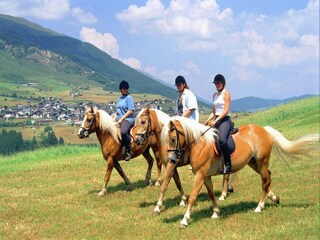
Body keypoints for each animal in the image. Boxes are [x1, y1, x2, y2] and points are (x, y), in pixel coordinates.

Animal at [164, 117, 318, 228]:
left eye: (173, 139)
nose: (172, 160)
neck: (200, 144)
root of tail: (263, 130)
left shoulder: (200, 175)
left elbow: (193, 197)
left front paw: (184, 220)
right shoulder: (205, 176)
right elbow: (211, 194)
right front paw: (216, 213)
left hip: (262, 161)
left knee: (264, 181)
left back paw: (259, 207)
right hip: (253, 162)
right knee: (268, 176)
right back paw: (274, 197)